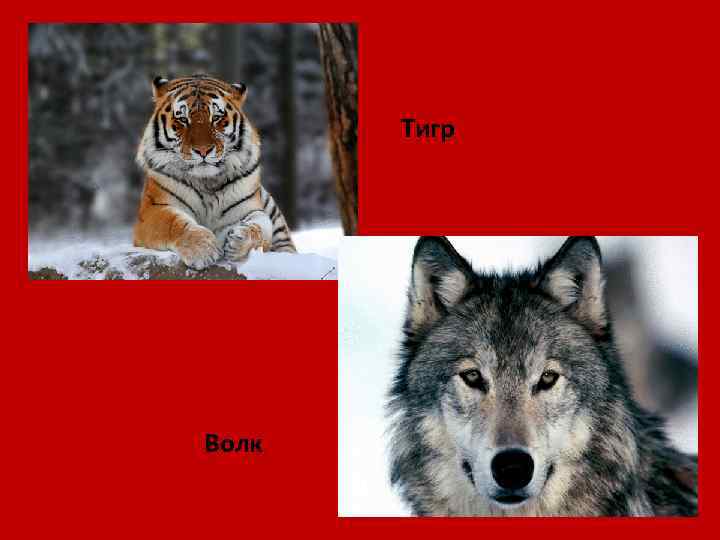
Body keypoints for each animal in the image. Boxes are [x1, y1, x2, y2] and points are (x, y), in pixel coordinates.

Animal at [134, 73, 296, 270]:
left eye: (216, 117)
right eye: (183, 119)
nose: (203, 150)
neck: (206, 181)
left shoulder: (249, 209)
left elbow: (261, 227)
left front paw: (239, 240)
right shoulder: (153, 210)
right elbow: (174, 223)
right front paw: (203, 249)